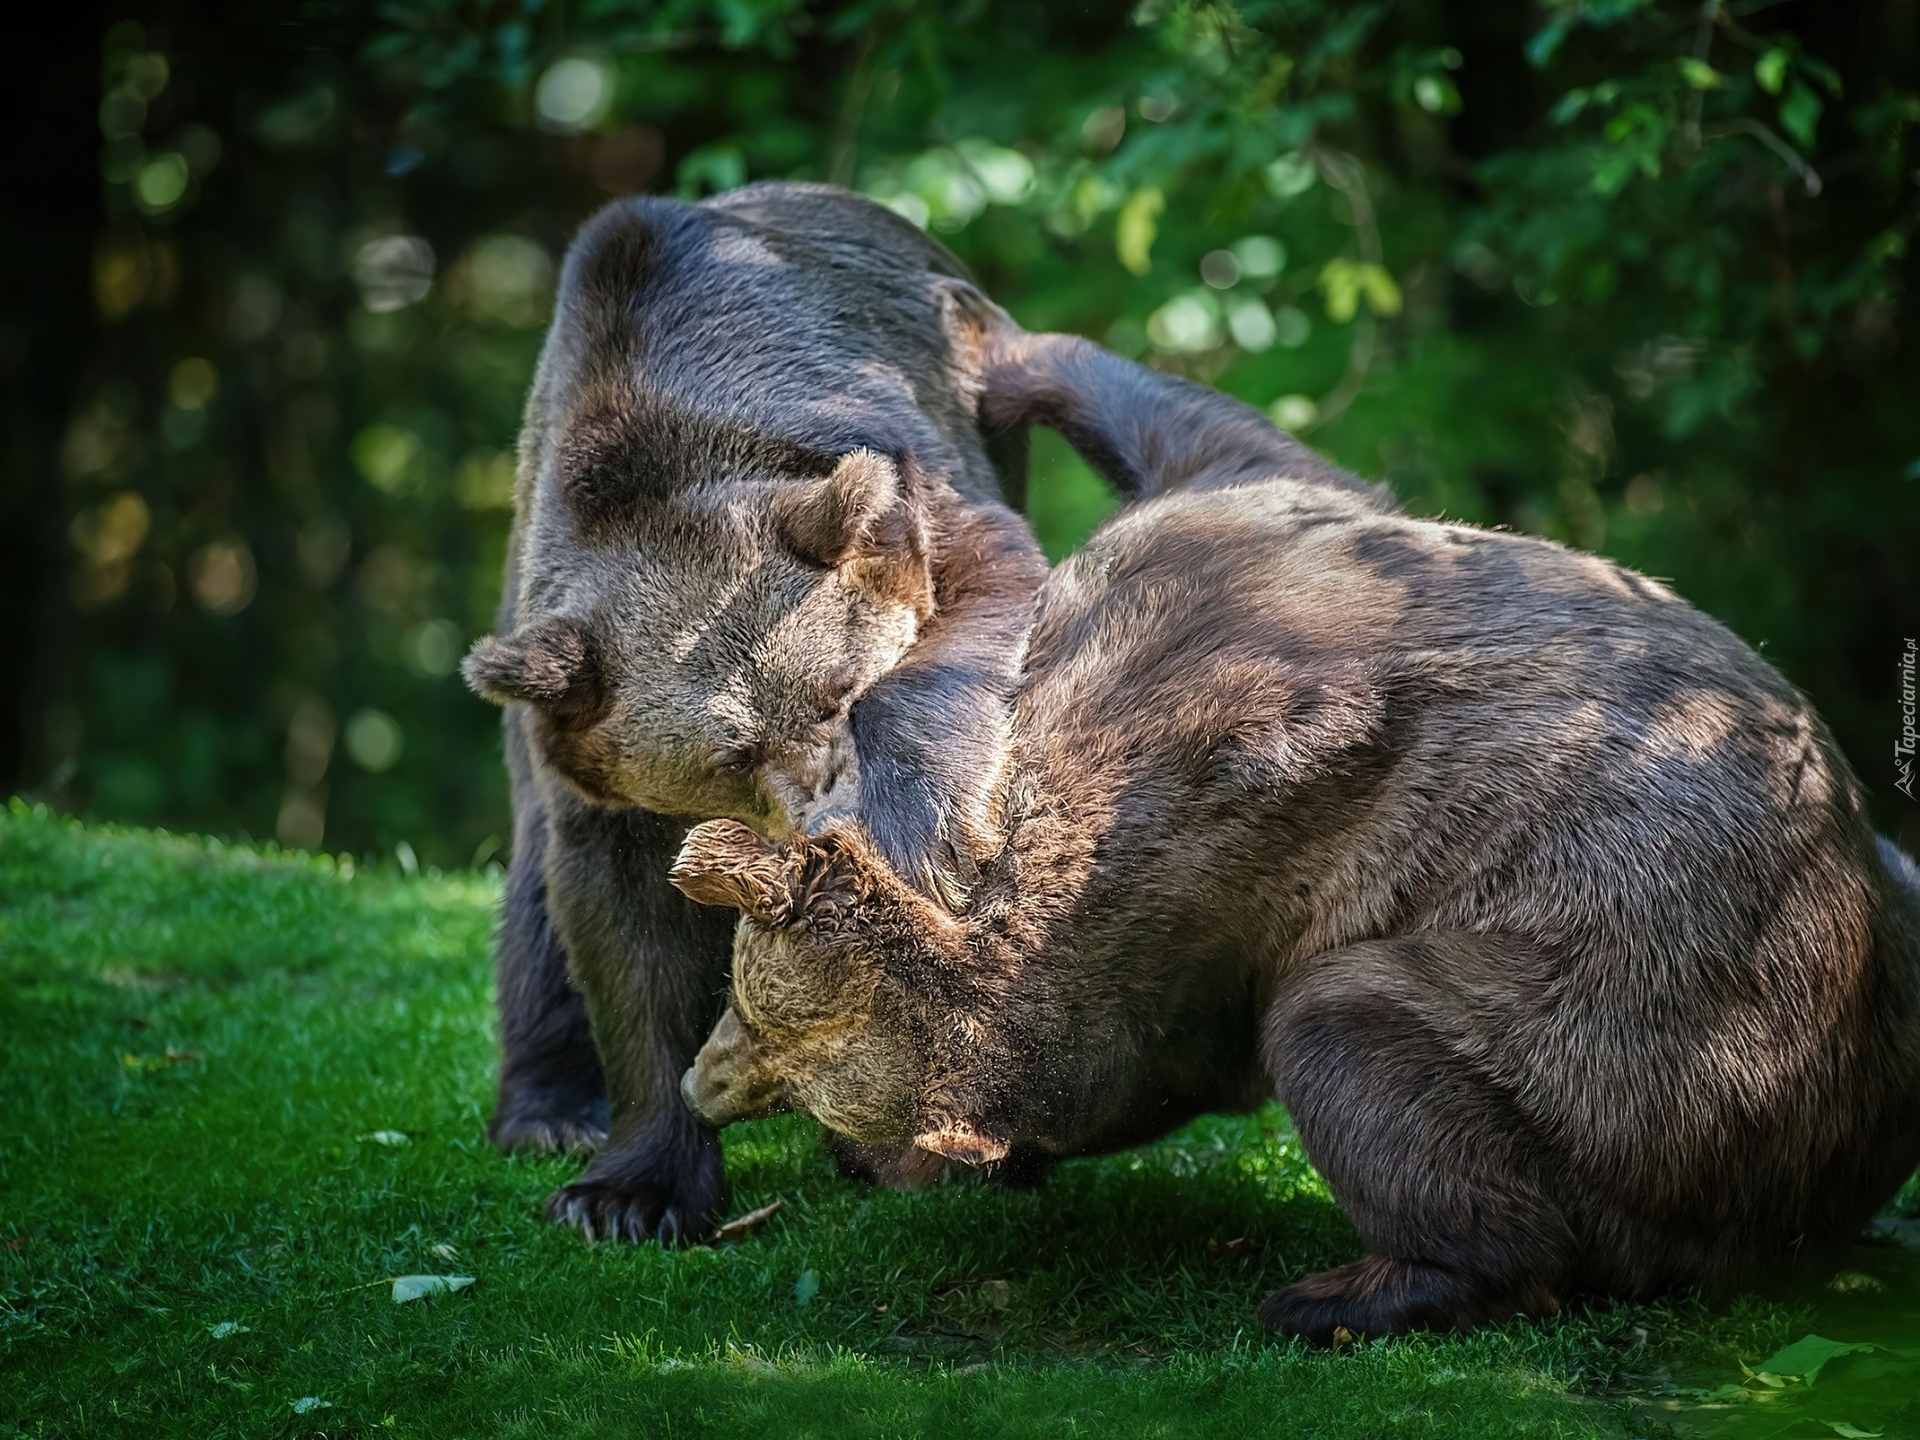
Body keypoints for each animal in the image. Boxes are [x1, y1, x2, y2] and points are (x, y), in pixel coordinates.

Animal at [672, 326, 1920, 1344]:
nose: (704, 1085)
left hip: (1639, 1025)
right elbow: (1226, 440)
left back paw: (1344, 1294)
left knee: (1363, 1037)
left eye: (775, 1045)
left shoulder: (1238, 753)